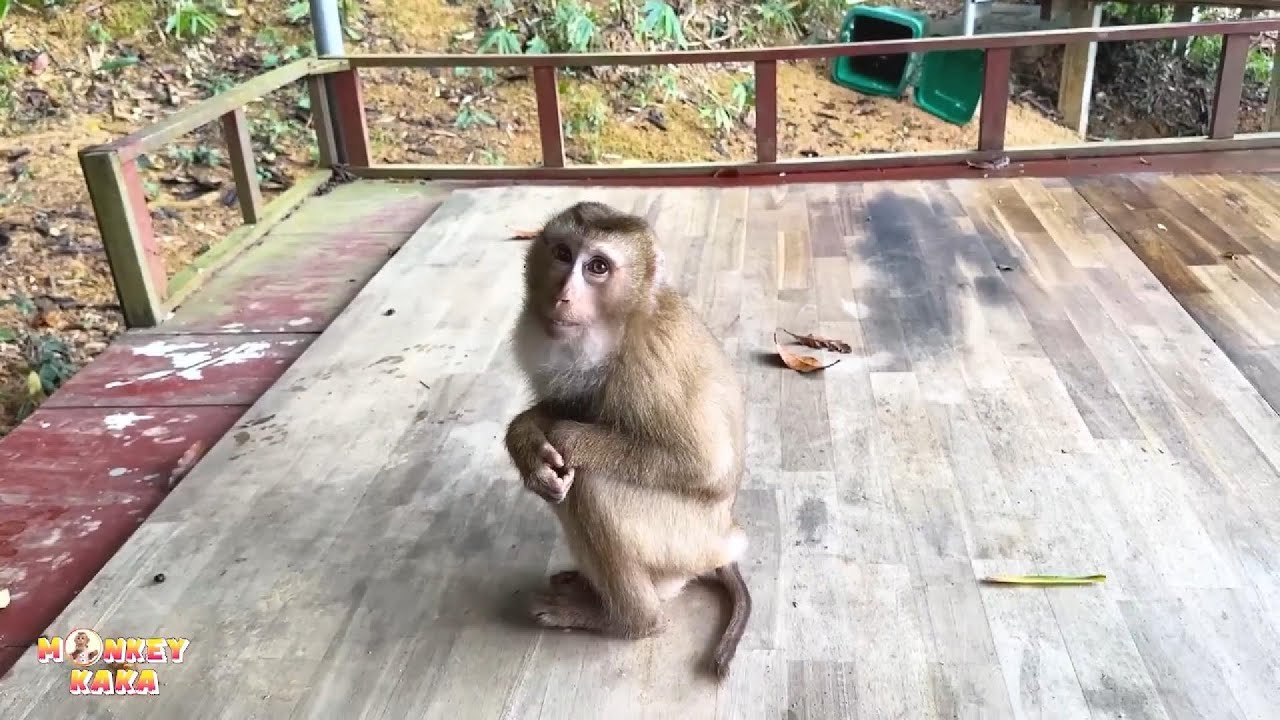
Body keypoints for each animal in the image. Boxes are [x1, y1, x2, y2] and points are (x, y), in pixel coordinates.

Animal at [503, 200, 752, 679]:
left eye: (597, 267)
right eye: (562, 254)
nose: (562, 296)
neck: (620, 325)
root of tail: (726, 539)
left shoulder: (651, 364)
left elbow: (705, 464)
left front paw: (565, 437)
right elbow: (559, 409)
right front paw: (526, 443)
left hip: (685, 541)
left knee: (590, 486)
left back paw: (632, 620)